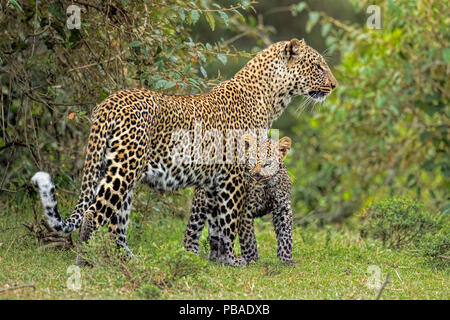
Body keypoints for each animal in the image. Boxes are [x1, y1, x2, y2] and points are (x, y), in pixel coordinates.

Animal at [31, 38, 336, 266]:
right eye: (318, 66)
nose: (333, 85)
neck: (271, 98)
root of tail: (110, 101)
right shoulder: (235, 175)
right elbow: (229, 220)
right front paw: (234, 260)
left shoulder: (214, 180)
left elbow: (216, 224)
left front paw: (217, 260)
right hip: (124, 169)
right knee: (94, 213)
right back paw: (84, 262)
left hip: (117, 168)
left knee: (116, 222)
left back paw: (127, 260)